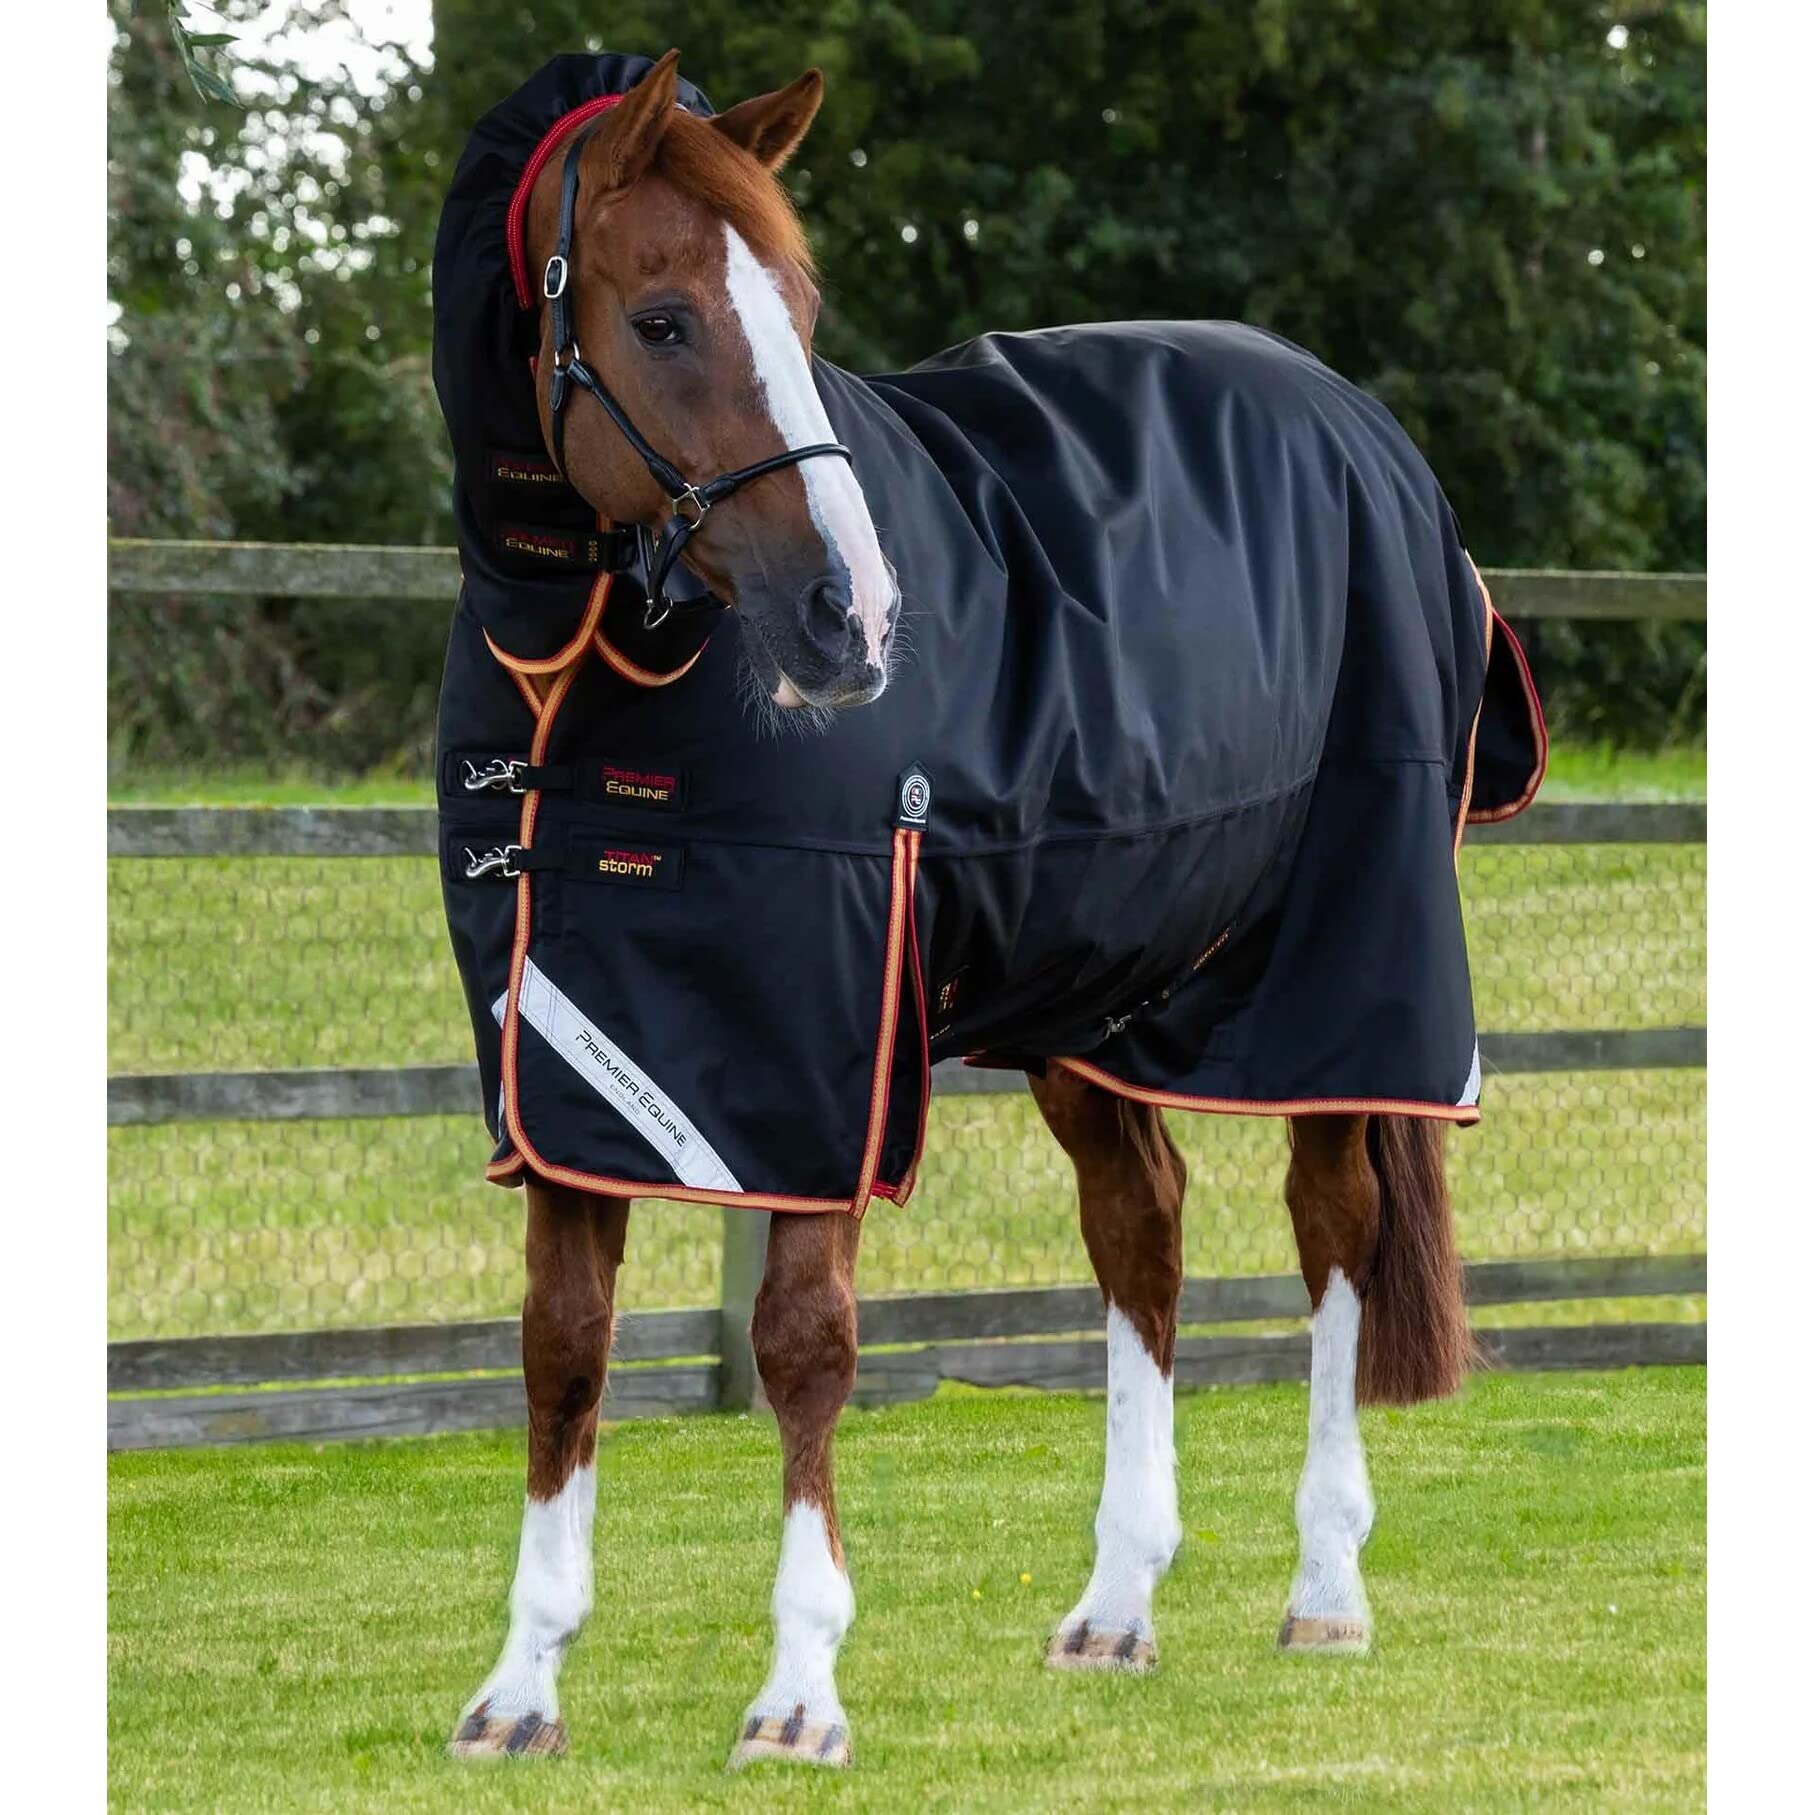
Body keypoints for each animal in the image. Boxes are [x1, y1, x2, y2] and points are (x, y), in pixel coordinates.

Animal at [434, 50, 1543, 1767]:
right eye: (664, 318)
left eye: (800, 304)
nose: (853, 616)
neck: (583, 682)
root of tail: (1365, 426)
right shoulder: (570, 1063)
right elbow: (562, 1347)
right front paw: (519, 1689)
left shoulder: (819, 1058)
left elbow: (802, 1343)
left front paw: (798, 1694)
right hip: (1103, 989)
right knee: (1141, 1222)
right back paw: (1116, 1604)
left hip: (1337, 971)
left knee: (1333, 1230)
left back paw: (1322, 1589)